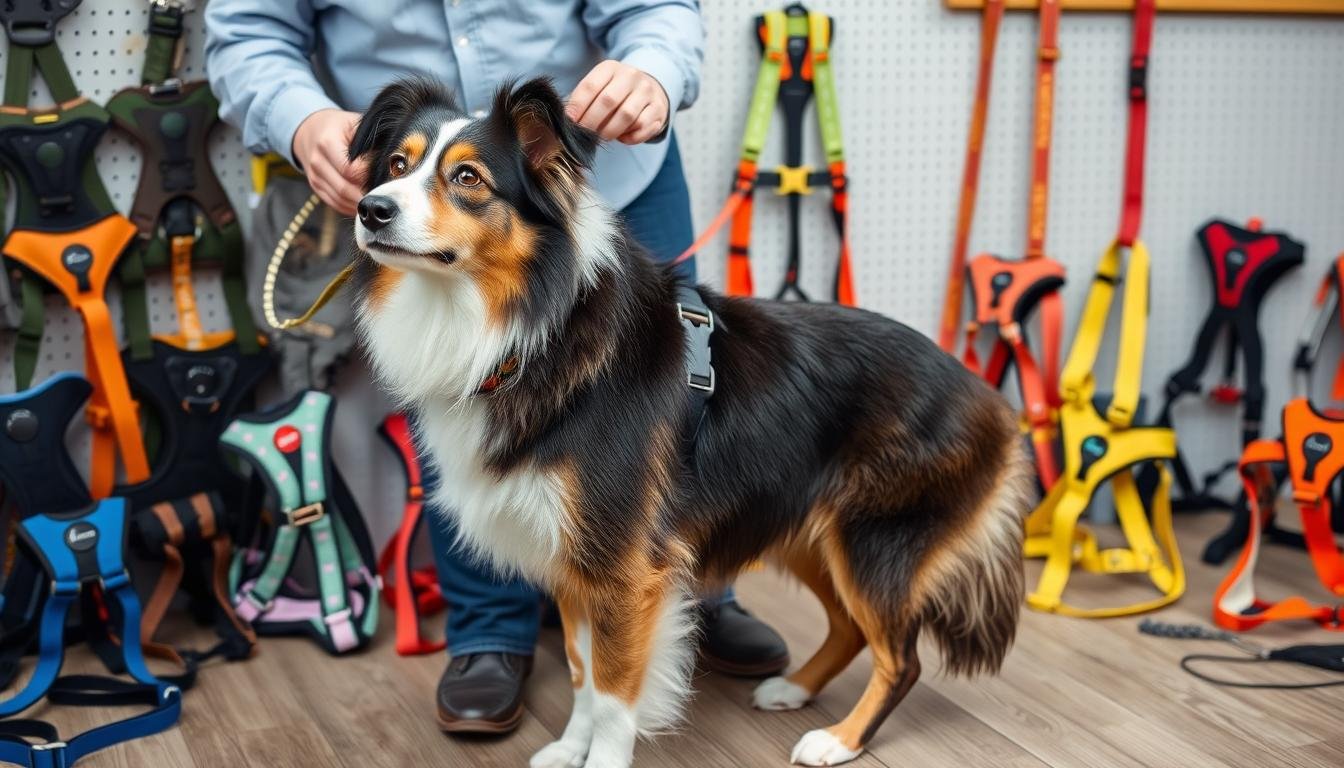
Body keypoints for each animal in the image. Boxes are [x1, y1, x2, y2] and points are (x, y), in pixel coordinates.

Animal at [349, 78, 1026, 768]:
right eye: (397, 166)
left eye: (468, 177)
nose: (371, 210)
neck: (537, 334)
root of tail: (990, 400)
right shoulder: (572, 556)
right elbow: (580, 674)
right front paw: (569, 748)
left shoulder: (622, 567)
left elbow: (613, 695)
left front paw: (601, 759)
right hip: (807, 527)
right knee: (848, 628)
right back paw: (794, 690)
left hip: (873, 540)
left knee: (900, 657)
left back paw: (838, 739)